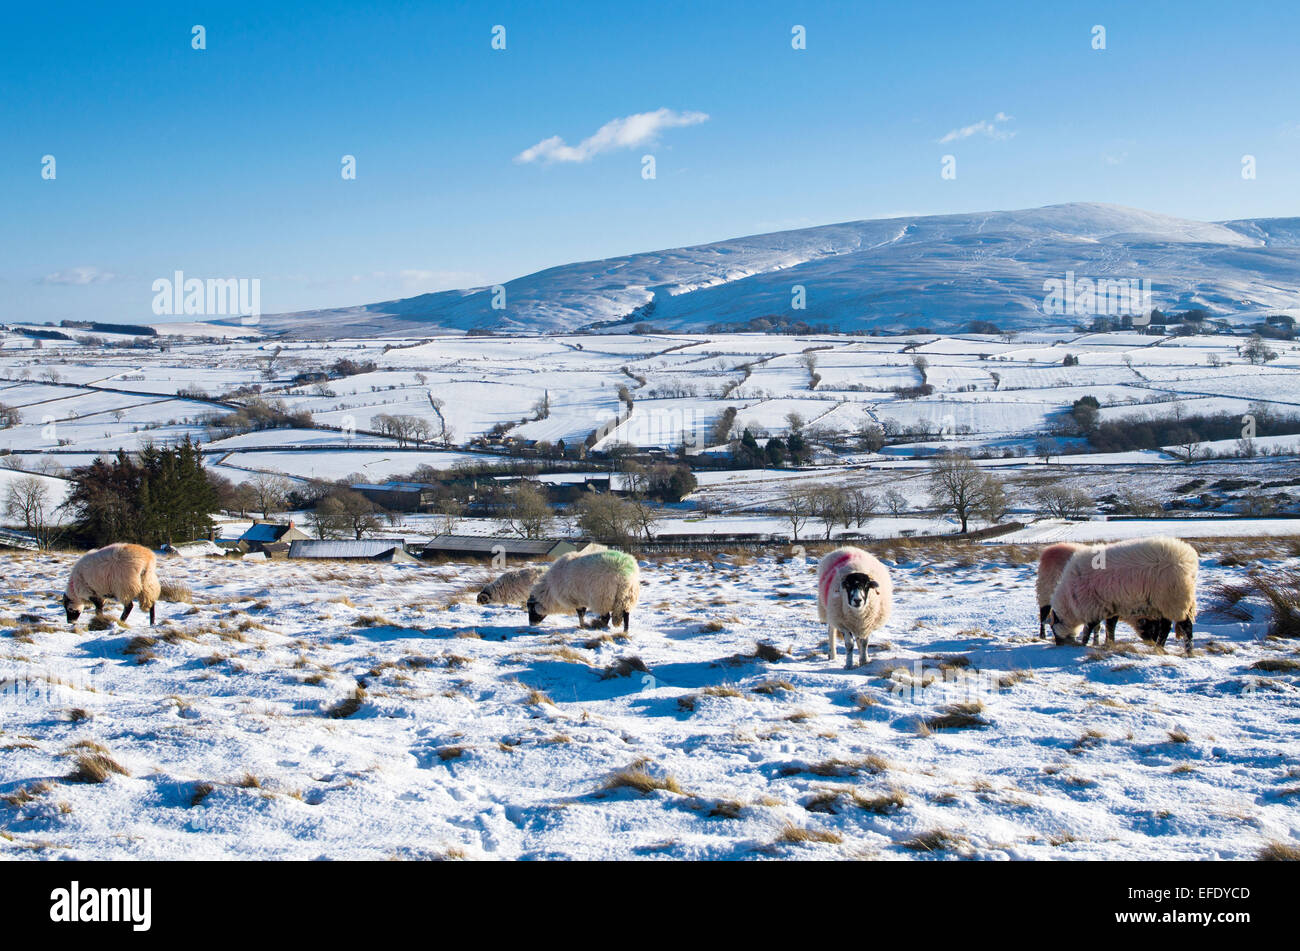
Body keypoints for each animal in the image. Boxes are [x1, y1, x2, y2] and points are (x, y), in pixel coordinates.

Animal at [1048, 536, 1198, 652]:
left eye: (1053, 628)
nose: (1059, 645)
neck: (1070, 601)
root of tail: (1189, 561)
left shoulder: (1093, 606)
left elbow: (1088, 628)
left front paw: (1083, 644)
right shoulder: (1111, 606)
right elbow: (1110, 626)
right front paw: (1109, 643)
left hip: (1174, 599)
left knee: (1185, 626)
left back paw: (1186, 651)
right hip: (1165, 603)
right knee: (1167, 626)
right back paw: (1160, 648)